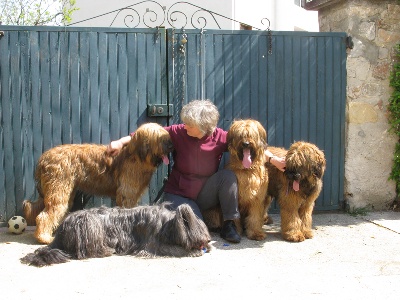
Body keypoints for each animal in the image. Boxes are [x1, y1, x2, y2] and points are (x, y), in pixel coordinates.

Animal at [21, 122, 172, 244]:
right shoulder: (127, 194)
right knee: (45, 215)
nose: (170, 145)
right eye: (159, 137)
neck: (137, 157)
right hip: (58, 190)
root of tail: (43, 158)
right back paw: (44, 238)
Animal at [21, 203, 212, 266]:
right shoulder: (152, 245)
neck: (167, 223)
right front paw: (192, 251)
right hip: (89, 223)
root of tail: (59, 232)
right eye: (201, 233)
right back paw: (105, 250)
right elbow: (171, 249)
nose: (209, 240)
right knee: (83, 252)